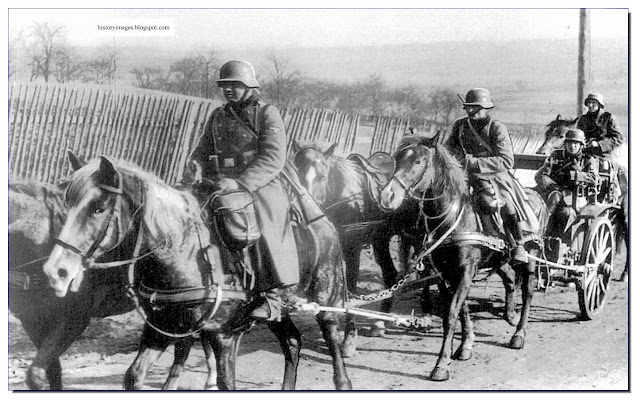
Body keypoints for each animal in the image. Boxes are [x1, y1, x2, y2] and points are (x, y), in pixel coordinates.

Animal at [43, 155, 356, 390]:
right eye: (67, 204)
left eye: (99, 208)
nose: (56, 271)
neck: (182, 251)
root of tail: (322, 220)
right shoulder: (161, 329)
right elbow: (134, 375)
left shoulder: (222, 336)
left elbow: (226, 383)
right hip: (278, 312)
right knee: (291, 341)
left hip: (327, 299)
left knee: (332, 338)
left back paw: (343, 379)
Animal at [378, 137, 548, 382]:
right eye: (397, 157)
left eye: (419, 161)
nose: (387, 197)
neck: (453, 218)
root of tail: (537, 197)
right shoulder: (446, 274)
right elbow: (461, 309)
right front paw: (465, 345)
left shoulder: (466, 271)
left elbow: (451, 314)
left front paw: (441, 364)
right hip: (498, 259)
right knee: (509, 279)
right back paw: (510, 314)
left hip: (531, 255)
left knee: (528, 291)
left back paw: (519, 334)